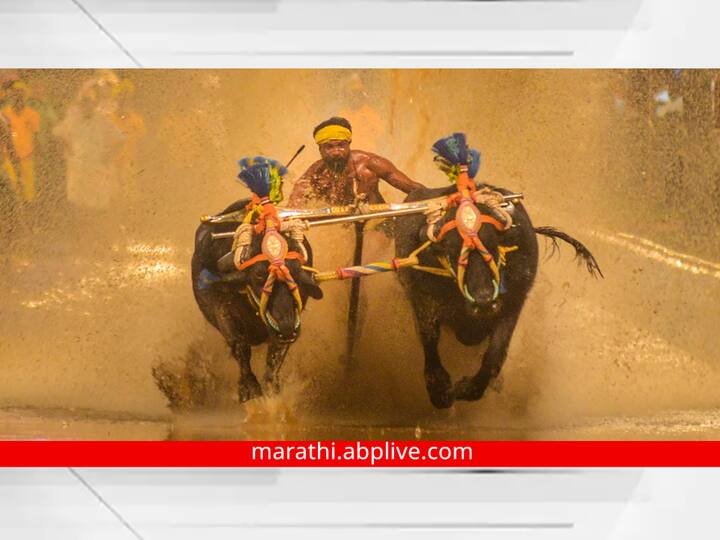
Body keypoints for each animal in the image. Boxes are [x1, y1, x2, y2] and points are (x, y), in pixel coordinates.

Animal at [193, 200, 324, 402]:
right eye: (258, 275)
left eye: (295, 272)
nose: (286, 328)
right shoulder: (225, 316)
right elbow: (241, 348)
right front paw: (249, 389)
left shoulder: (285, 333)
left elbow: (273, 363)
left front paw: (271, 390)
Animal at [394, 184, 600, 408]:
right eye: (452, 252)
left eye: (493, 246)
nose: (484, 301)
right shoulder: (422, 299)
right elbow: (429, 337)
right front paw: (439, 388)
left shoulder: (513, 303)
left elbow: (496, 352)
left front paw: (471, 388)